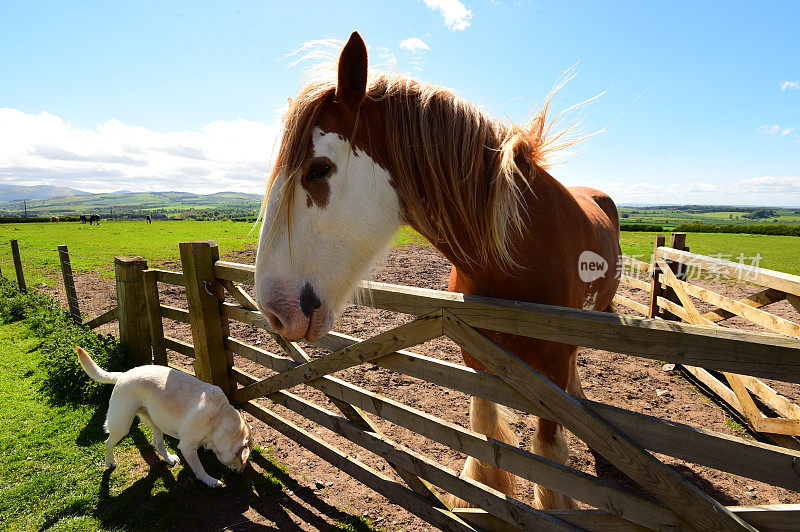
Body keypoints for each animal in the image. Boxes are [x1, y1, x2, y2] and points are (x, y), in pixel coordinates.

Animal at [76, 348, 250, 488]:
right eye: (243, 460)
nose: (242, 474)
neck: (220, 418)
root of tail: (124, 374)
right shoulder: (187, 447)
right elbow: (199, 469)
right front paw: (210, 481)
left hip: (156, 420)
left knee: (157, 442)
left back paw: (169, 458)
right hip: (122, 424)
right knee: (108, 442)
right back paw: (110, 462)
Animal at [253, 31, 620, 510]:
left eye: (319, 169)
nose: (274, 311)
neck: (522, 249)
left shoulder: (553, 369)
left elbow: (549, 455)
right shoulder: (476, 353)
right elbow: (484, 430)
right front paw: (483, 494)